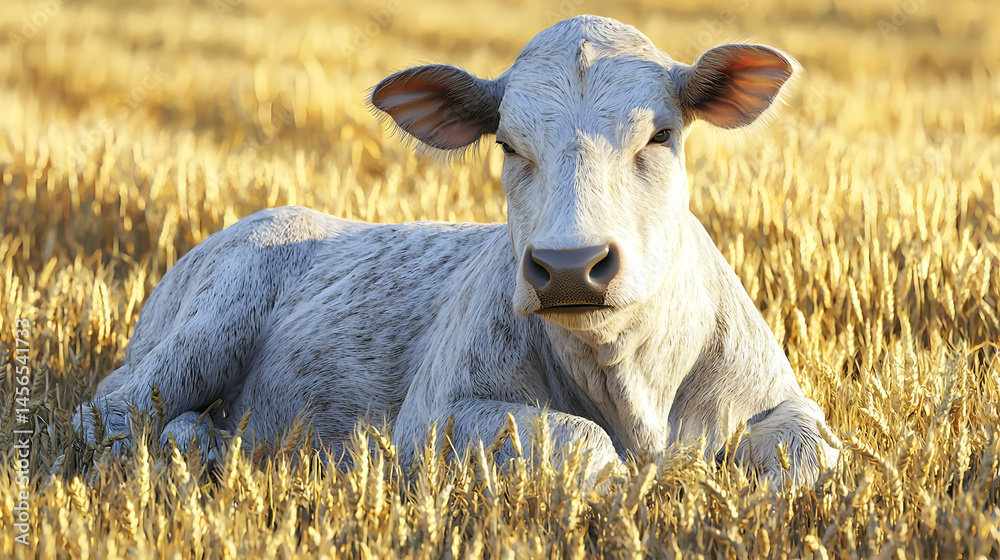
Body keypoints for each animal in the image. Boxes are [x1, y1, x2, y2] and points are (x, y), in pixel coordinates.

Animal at [74, 15, 839, 487]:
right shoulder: (434, 418)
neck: (630, 381)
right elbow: (583, 444)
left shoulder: (786, 402)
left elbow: (812, 459)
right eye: (507, 143)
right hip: (205, 331)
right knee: (110, 411)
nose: (570, 268)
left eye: (660, 135)